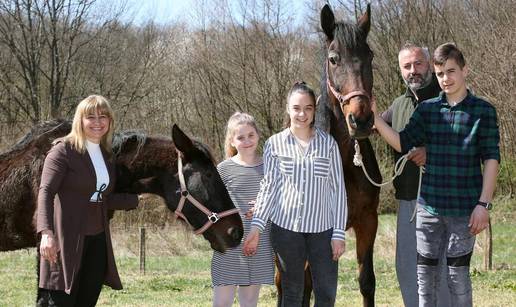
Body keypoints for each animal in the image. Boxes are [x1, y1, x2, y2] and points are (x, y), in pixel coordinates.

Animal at [278, 4, 382, 307]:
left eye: (369, 55)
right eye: (334, 59)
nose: (361, 119)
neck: (344, 161)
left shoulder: (367, 222)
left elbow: (366, 281)